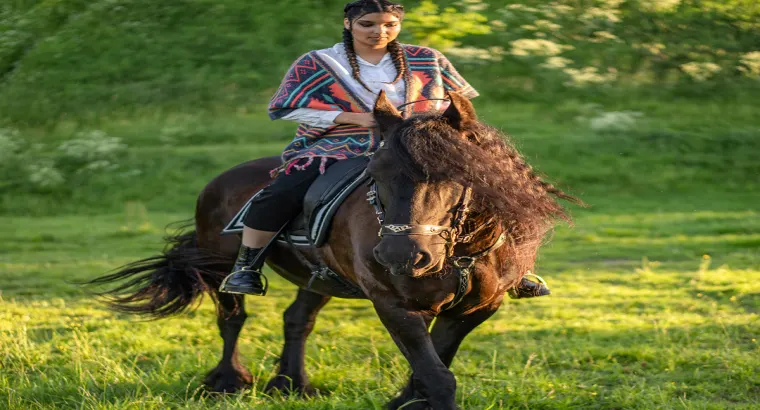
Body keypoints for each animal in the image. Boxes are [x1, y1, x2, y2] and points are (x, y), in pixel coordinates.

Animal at [87, 91, 578, 410]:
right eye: (376, 171)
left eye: (456, 172)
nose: (402, 256)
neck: (458, 250)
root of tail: (219, 181)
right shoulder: (393, 304)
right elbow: (437, 377)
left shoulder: (473, 310)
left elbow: (432, 368)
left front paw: (402, 402)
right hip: (220, 264)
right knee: (232, 318)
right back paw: (229, 382)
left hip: (318, 277)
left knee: (296, 319)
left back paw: (290, 383)